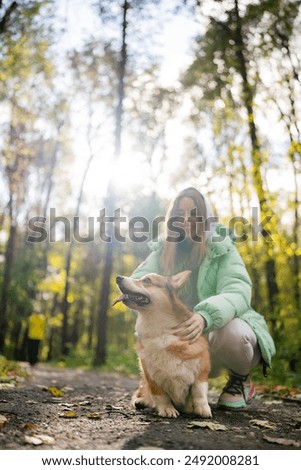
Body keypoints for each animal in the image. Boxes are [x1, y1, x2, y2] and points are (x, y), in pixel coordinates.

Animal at [112, 270, 211, 420]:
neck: (162, 332)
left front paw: (203, 409)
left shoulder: (202, 371)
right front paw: (167, 409)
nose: (118, 278)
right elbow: (160, 395)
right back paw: (141, 401)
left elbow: (199, 391)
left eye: (147, 280)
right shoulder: (151, 376)